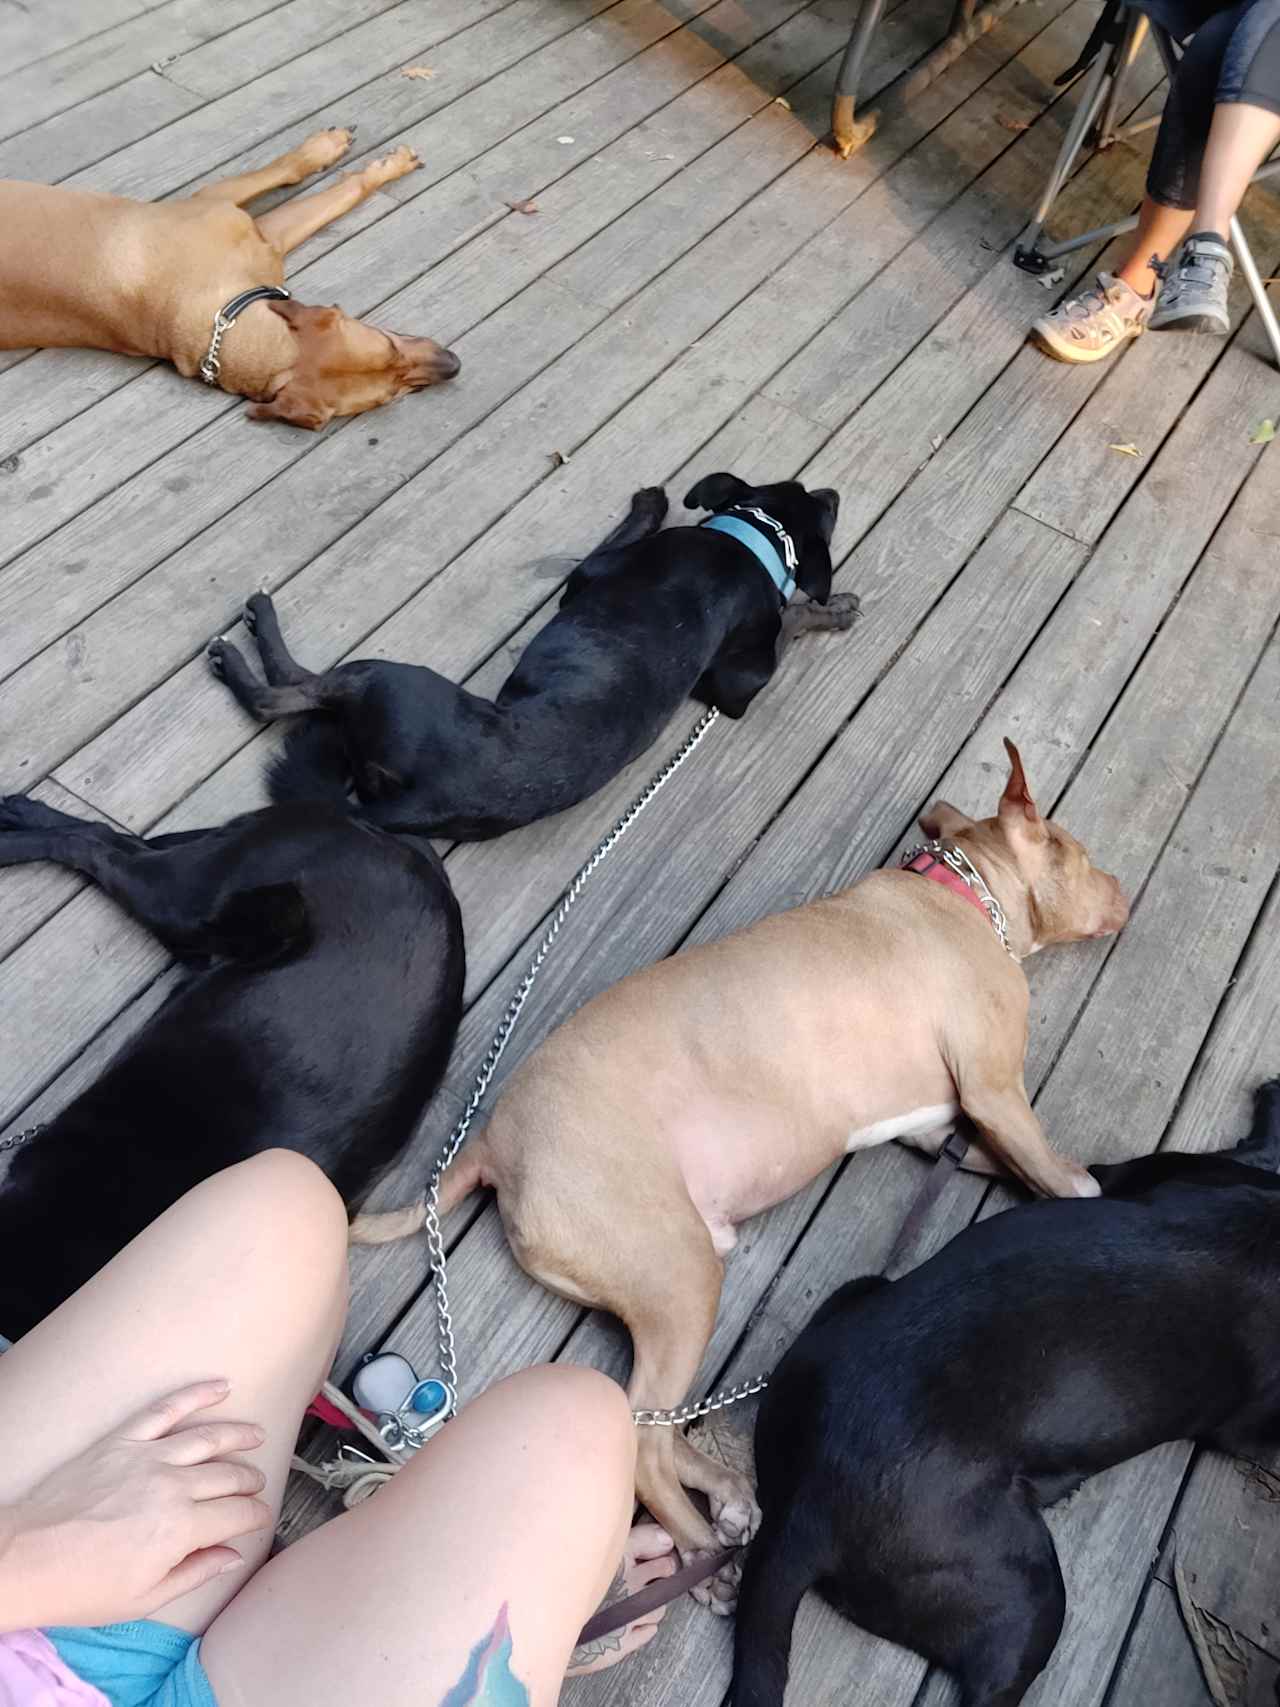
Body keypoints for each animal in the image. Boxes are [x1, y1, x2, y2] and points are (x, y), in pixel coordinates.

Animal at [0, 129, 460, 430]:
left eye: (388, 345)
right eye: (391, 396)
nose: (453, 365)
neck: (221, 317)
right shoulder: (219, 202)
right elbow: (302, 177)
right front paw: (352, 157)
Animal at [356, 744, 1126, 1597]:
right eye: (1080, 854)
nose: (1123, 889)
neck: (963, 888)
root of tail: (494, 1139)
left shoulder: (941, 1128)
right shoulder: (996, 1091)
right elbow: (1061, 1174)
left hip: (660, 1292)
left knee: (649, 1421)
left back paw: (724, 1496)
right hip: (681, 1277)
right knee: (643, 1445)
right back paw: (701, 1550)